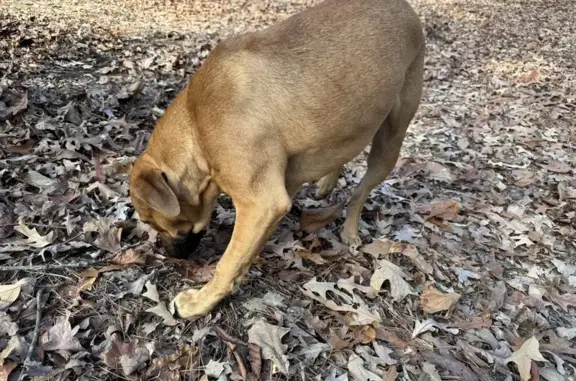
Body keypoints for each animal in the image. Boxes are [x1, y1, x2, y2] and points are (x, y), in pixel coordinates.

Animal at [128, 0, 424, 316]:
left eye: (150, 221)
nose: (167, 254)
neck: (196, 125)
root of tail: (406, 8)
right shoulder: (278, 189)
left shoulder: (261, 203)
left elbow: (227, 262)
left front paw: (202, 300)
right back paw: (327, 183)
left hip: (390, 141)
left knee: (361, 191)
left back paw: (350, 229)